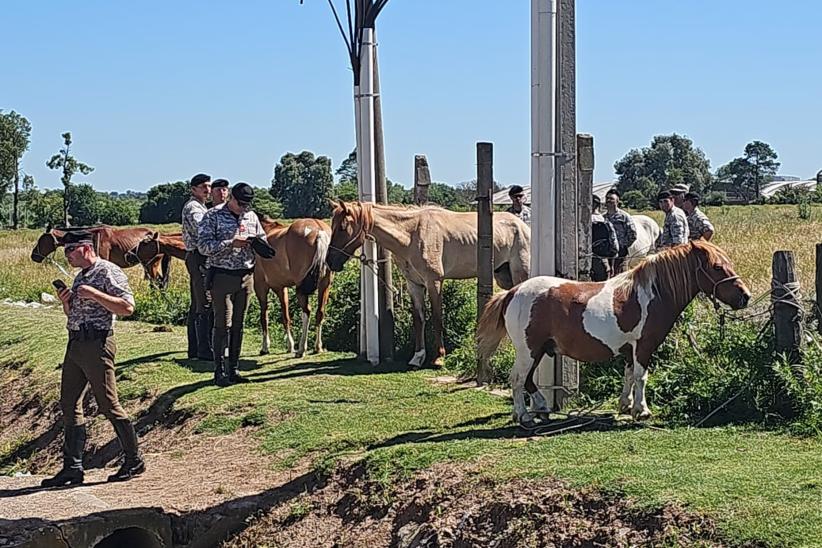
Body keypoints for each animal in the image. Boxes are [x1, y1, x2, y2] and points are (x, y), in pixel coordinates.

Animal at [254, 217, 333, 357]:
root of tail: (319, 231)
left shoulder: (261, 286)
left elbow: (264, 317)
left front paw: (265, 347)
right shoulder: (281, 288)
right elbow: (286, 317)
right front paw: (290, 345)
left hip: (301, 288)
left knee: (307, 312)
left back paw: (301, 349)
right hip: (325, 284)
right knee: (320, 312)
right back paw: (317, 347)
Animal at [327, 200, 531, 368]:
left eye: (343, 228)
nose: (330, 261)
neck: (412, 234)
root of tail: (523, 226)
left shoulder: (434, 282)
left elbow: (437, 318)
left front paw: (439, 358)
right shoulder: (414, 284)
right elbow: (419, 319)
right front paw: (418, 357)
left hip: (520, 275)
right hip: (503, 277)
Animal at [476, 240, 750, 427]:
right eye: (717, 267)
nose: (745, 296)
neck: (650, 294)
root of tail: (513, 292)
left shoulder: (630, 350)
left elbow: (628, 376)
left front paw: (626, 405)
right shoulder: (643, 346)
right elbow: (641, 377)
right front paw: (642, 410)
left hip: (540, 349)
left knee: (529, 379)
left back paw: (541, 409)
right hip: (529, 350)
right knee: (518, 378)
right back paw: (523, 415)